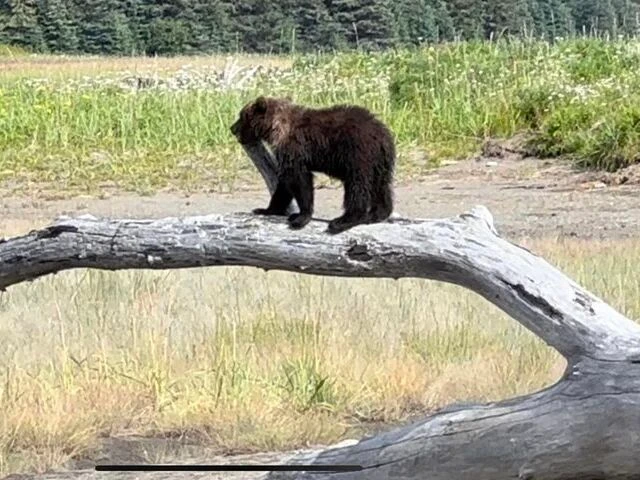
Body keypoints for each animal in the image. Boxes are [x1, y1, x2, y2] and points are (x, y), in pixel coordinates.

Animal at [230, 96, 396, 234]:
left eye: (241, 116)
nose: (232, 128)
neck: (277, 129)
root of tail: (383, 134)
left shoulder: (295, 150)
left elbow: (300, 181)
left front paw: (300, 217)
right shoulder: (287, 157)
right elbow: (284, 184)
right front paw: (266, 209)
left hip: (358, 155)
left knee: (357, 186)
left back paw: (343, 220)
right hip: (380, 162)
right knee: (382, 185)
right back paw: (377, 213)